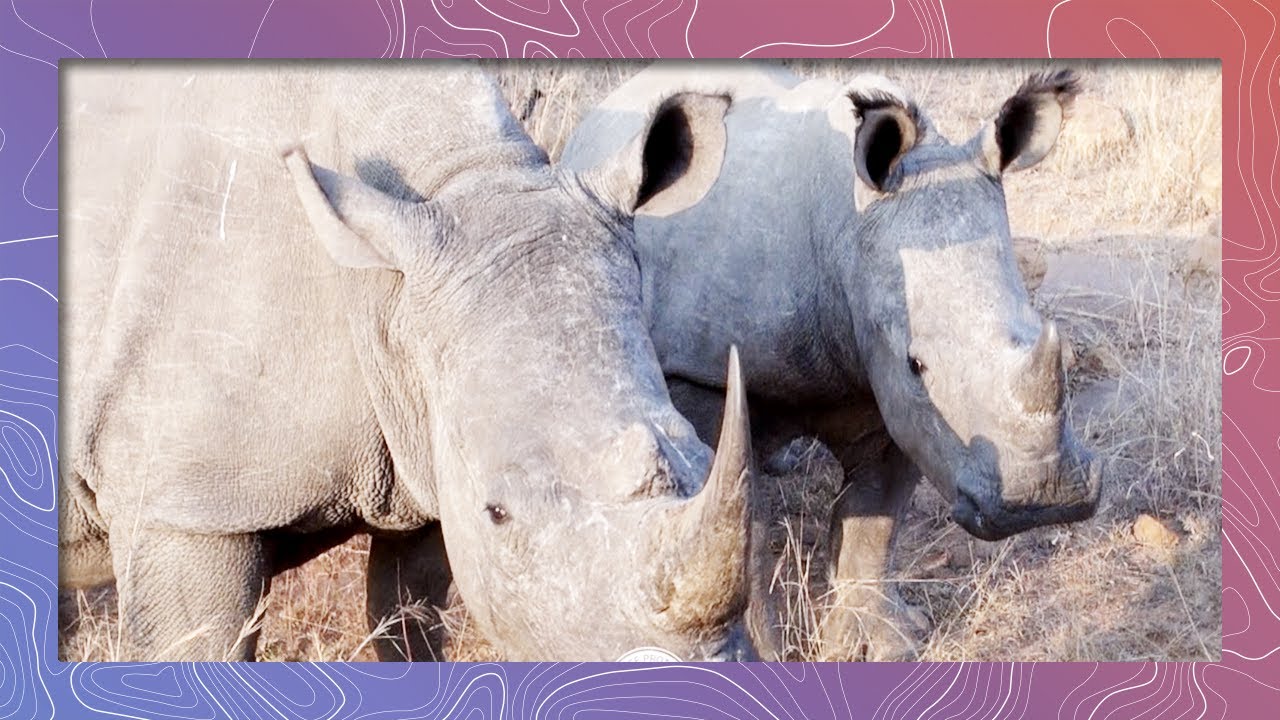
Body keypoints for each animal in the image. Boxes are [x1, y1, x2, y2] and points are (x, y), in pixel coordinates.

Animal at [562, 63, 1105, 660]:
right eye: (918, 365)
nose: (1043, 501)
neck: (847, 225)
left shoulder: (893, 392)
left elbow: (874, 520)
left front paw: (883, 643)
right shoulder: (701, 370)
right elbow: (741, 522)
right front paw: (766, 651)